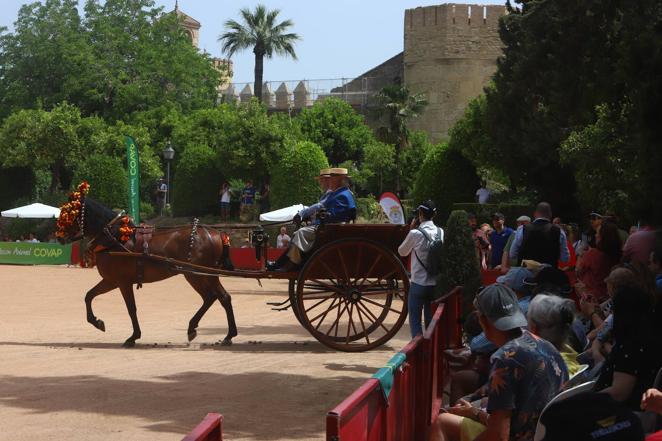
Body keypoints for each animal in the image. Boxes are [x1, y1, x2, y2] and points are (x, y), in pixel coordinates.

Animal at [57, 197, 239, 348]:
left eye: (68, 213)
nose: (58, 237)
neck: (115, 237)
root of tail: (217, 233)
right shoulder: (111, 281)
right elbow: (89, 296)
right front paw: (97, 322)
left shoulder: (123, 282)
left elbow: (131, 308)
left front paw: (133, 337)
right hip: (200, 275)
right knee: (213, 297)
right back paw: (199, 329)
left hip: (197, 274)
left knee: (220, 297)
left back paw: (226, 334)